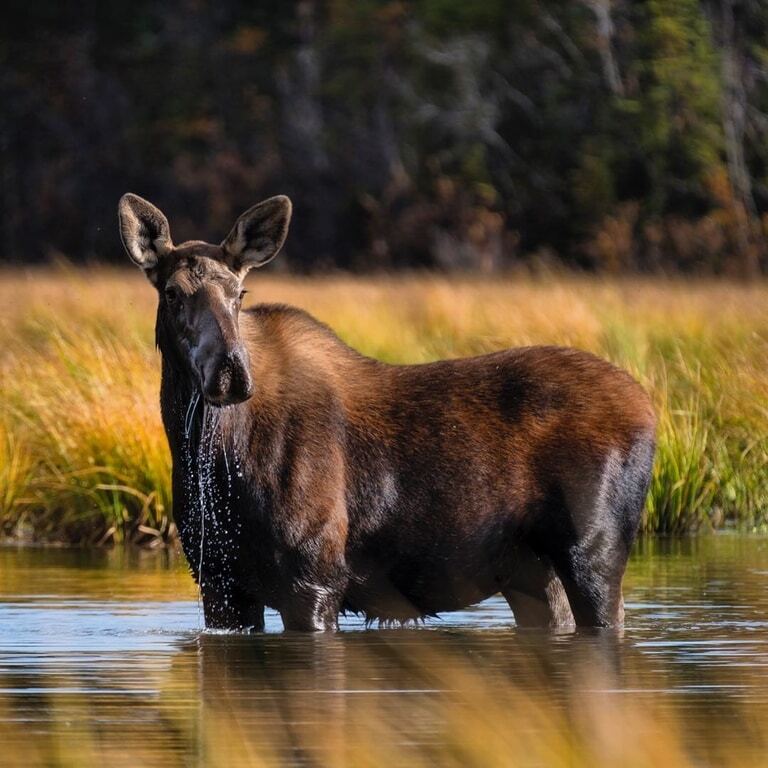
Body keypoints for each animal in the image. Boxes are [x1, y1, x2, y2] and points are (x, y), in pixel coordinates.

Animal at [118, 195, 656, 632]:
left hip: (594, 550)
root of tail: (651, 409)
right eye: (172, 292)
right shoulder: (220, 585)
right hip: (531, 570)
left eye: (239, 293)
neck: (211, 456)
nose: (231, 373)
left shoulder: (313, 578)